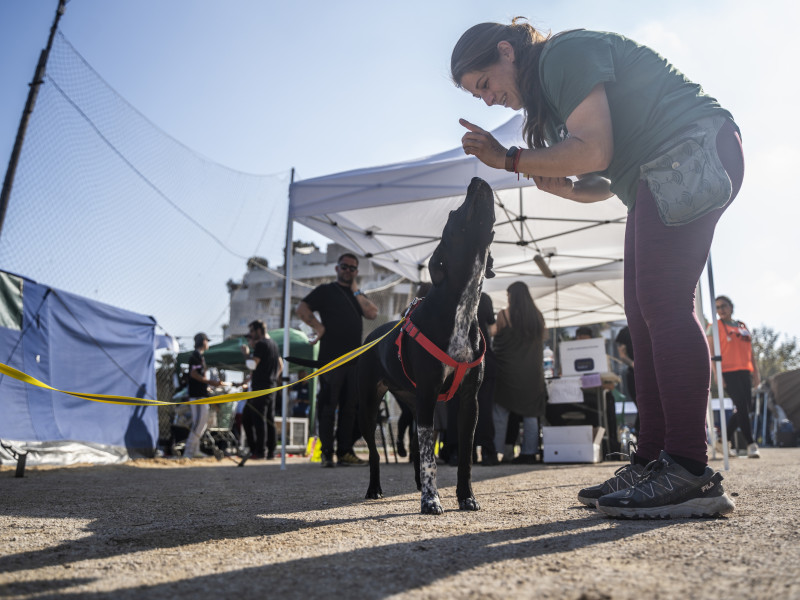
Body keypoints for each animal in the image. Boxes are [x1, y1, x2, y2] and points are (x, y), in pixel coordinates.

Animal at [356, 178, 494, 516]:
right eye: (453, 213)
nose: (476, 180)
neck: (462, 305)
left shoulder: (469, 402)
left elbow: (464, 457)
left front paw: (466, 497)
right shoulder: (430, 393)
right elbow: (431, 459)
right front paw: (431, 500)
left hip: (413, 404)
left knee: (417, 450)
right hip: (369, 407)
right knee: (377, 453)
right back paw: (375, 489)